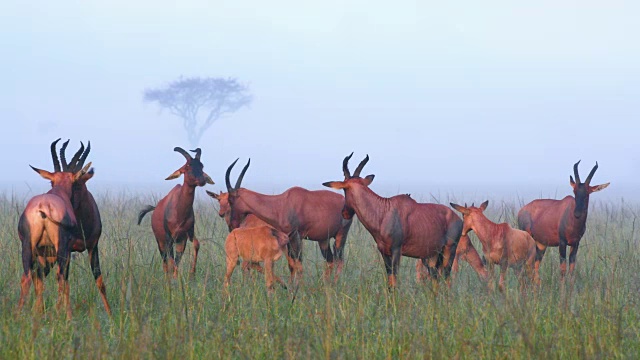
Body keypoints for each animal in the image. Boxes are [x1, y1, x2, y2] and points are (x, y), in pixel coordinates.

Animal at [17, 148, 91, 318]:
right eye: (75, 183)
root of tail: (43, 206)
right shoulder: (67, 249)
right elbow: (63, 279)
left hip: (28, 247)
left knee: (26, 278)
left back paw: (18, 315)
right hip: (61, 248)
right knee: (61, 278)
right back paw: (62, 315)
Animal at [136, 148, 214, 278]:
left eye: (201, 165)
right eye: (187, 166)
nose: (202, 180)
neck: (179, 211)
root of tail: (155, 208)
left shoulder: (186, 235)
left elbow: (194, 246)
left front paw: (191, 273)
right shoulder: (169, 237)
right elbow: (172, 260)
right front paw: (174, 277)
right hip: (160, 240)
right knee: (165, 259)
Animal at [221, 160, 350, 282]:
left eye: (230, 200)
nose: (231, 226)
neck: (281, 203)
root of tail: (343, 199)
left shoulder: (296, 236)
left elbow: (298, 263)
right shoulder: (288, 238)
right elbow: (292, 265)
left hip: (341, 234)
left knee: (340, 260)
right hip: (323, 239)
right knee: (330, 260)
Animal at [322, 154, 462, 286]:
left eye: (344, 188)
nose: (344, 213)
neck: (383, 212)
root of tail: (458, 218)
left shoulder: (396, 250)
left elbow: (395, 279)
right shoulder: (384, 252)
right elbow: (390, 279)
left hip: (449, 250)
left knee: (447, 278)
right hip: (433, 255)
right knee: (435, 278)